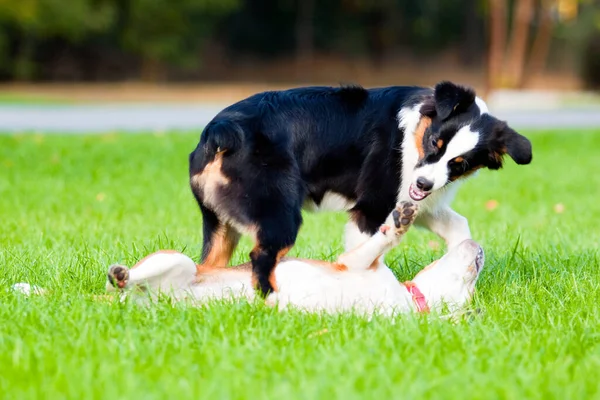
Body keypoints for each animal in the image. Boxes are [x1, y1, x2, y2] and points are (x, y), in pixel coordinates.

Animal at [103, 202, 486, 318]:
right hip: (176, 262)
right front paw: (398, 223)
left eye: (472, 294)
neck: (408, 300)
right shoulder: (356, 261)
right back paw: (121, 274)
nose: (480, 249)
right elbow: (383, 238)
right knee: (128, 279)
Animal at [188, 81, 528, 296]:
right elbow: (367, 251)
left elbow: (458, 224)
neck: (411, 135)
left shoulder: (412, 202)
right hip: (279, 215)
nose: (423, 184)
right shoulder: (371, 207)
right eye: (435, 142)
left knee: (208, 264)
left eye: (459, 163)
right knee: (261, 257)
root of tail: (220, 130)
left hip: (221, 222)